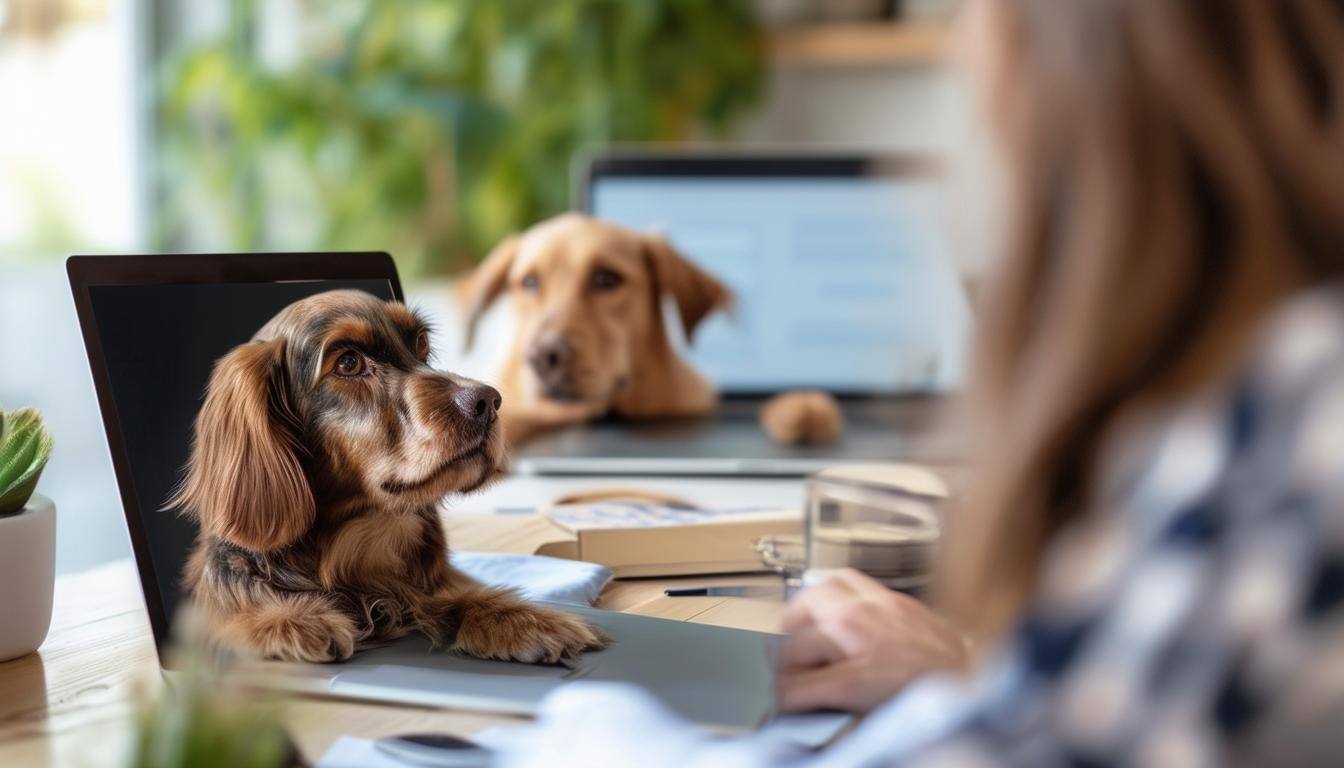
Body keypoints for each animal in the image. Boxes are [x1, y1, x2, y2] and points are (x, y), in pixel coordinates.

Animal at [170, 291, 607, 664]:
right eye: (348, 362)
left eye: (421, 344)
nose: (488, 401)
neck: (358, 545)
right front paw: (285, 620)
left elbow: (456, 597)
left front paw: (524, 619)